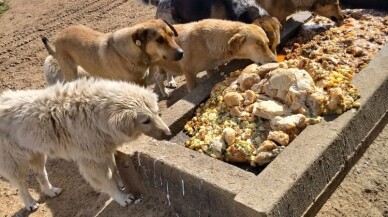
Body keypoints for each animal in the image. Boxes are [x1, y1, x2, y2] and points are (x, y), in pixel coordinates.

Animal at [0, 78, 170, 212]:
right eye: (145, 121)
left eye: (156, 112)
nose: (169, 134)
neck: (97, 115)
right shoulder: (92, 161)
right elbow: (108, 181)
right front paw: (121, 197)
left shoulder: (104, 152)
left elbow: (114, 171)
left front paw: (121, 184)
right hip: (13, 162)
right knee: (21, 184)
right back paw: (29, 203)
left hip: (37, 153)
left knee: (40, 173)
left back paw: (50, 191)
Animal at [41, 19, 184, 85]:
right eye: (159, 40)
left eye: (172, 34)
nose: (181, 53)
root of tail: (58, 37)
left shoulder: (141, 81)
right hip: (71, 73)